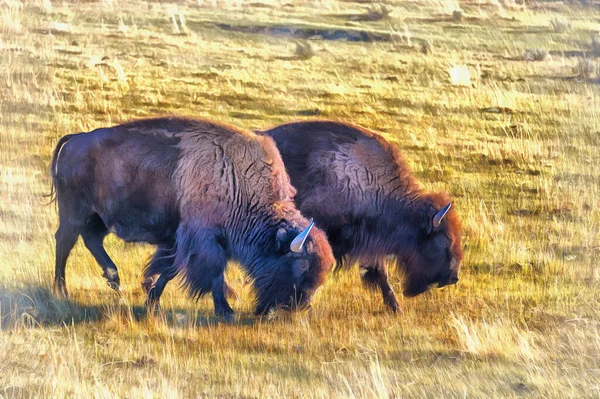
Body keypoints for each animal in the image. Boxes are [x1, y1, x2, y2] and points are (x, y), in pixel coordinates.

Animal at [49, 116, 336, 318]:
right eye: (301, 265)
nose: (298, 307)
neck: (238, 180)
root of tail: (75, 139)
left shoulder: (182, 241)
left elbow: (169, 269)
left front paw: (151, 299)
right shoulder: (203, 239)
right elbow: (212, 272)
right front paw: (226, 311)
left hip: (97, 216)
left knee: (91, 240)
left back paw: (114, 280)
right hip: (74, 210)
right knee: (65, 242)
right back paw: (62, 290)